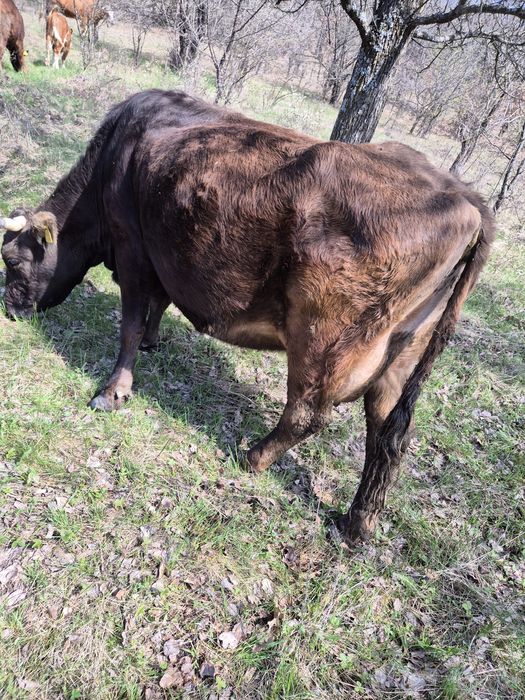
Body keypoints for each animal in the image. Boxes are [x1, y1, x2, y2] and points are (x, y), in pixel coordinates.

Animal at [0, 90, 494, 546]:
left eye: (12, 261)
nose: (9, 308)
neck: (117, 155)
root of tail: (465, 198)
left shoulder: (133, 248)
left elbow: (130, 325)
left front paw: (112, 391)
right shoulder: (160, 258)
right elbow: (157, 307)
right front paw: (153, 342)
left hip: (324, 339)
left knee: (308, 415)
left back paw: (252, 457)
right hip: (402, 352)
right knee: (389, 436)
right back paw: (356, 523)